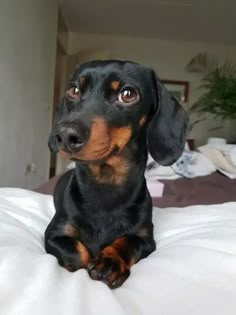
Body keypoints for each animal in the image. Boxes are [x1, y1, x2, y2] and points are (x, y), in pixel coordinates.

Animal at [45, 60, 187, 290]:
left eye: (128, 94)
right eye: (73, 90)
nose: (64, 135)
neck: (106, 186)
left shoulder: (145, 239)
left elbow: (126, 242)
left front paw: (110, 262)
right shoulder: (53, 234)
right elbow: (76, 251)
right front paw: (89, 259)